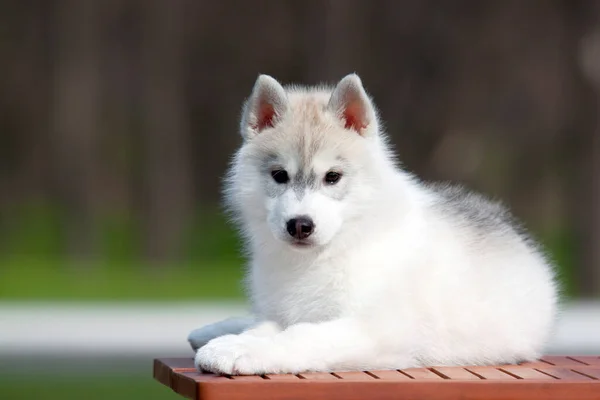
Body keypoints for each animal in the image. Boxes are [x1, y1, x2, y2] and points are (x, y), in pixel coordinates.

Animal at [189, 72, 556, 376]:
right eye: (280, 175)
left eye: (332, 177)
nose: (300, 225)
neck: (334, 249)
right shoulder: (284, 312)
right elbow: (267, 326)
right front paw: (237, 340)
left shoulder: (373, 330)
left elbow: (302, 334)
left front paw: (239, 350)